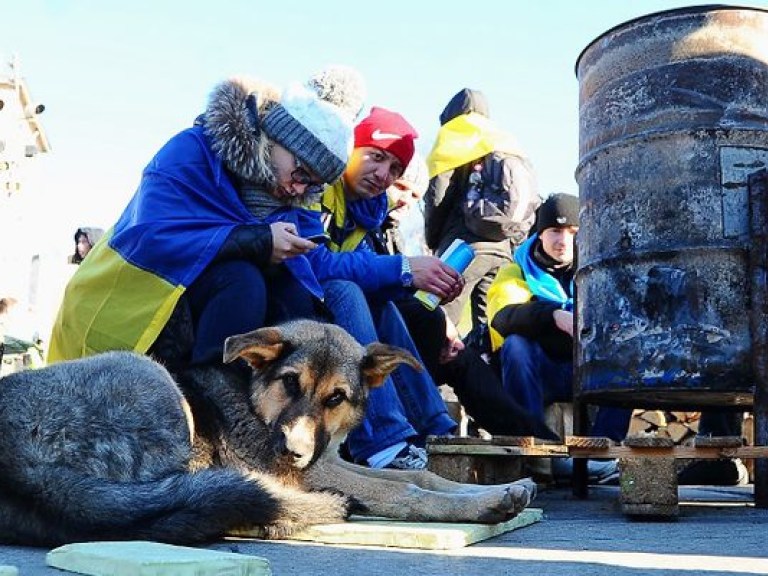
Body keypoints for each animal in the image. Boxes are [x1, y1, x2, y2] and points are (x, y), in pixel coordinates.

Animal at [0, 320, 536, 548]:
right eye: (290, 383)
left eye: (336, 398)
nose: (291, 452)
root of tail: (19, 467)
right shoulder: (312, 471)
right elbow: (406, 491)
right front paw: (486, 503)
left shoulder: (327, 460)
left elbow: (425, 478)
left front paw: (503, 488)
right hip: (153, 379)